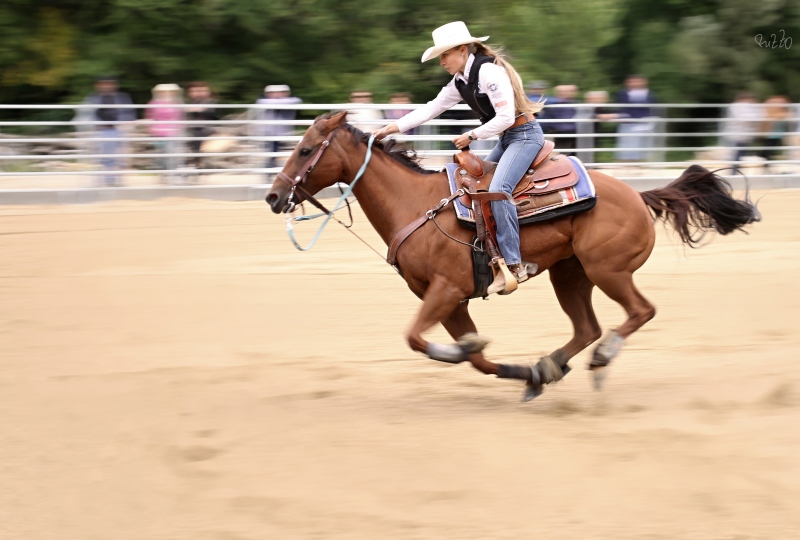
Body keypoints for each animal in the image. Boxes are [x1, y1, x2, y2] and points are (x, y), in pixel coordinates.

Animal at [268, 113, 756, 400]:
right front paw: (517, 370)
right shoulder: (448, 299)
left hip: (608, 269)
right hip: (570, 273)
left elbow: (418, 339)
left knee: (639, 311)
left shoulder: (446, 290)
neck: (415, 204)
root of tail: (637, 194)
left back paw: (600, 360)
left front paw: (466, 352)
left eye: (306, 149)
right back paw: (548, 367)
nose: (274, 197)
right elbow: (475, 358)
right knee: (587, 327)